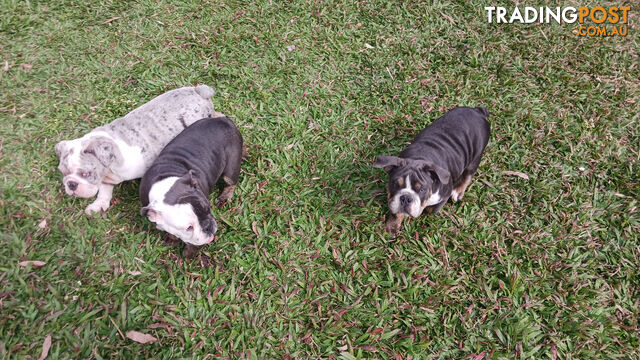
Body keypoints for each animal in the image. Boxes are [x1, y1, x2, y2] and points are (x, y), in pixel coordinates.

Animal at [140, 116, 242, 258]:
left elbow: (195, 244)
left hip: (232, 165)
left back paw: (225, 197)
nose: (208, 226)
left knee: (231, 182)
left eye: (208, 209)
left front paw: (189, 254)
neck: (164, 188)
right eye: (188, 228)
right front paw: (171, 238)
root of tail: (224, 120)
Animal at [376, 106, 490, 236]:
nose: (406, 198)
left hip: (476, 156)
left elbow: (432, 209)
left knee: (468, 174)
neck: (418, 159)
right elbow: (396, 211)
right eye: (395, 184)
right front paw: (392, 226)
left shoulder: (444, 195)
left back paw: (458, 191)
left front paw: (425, 211)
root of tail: (478, 111)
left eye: (422, 189)